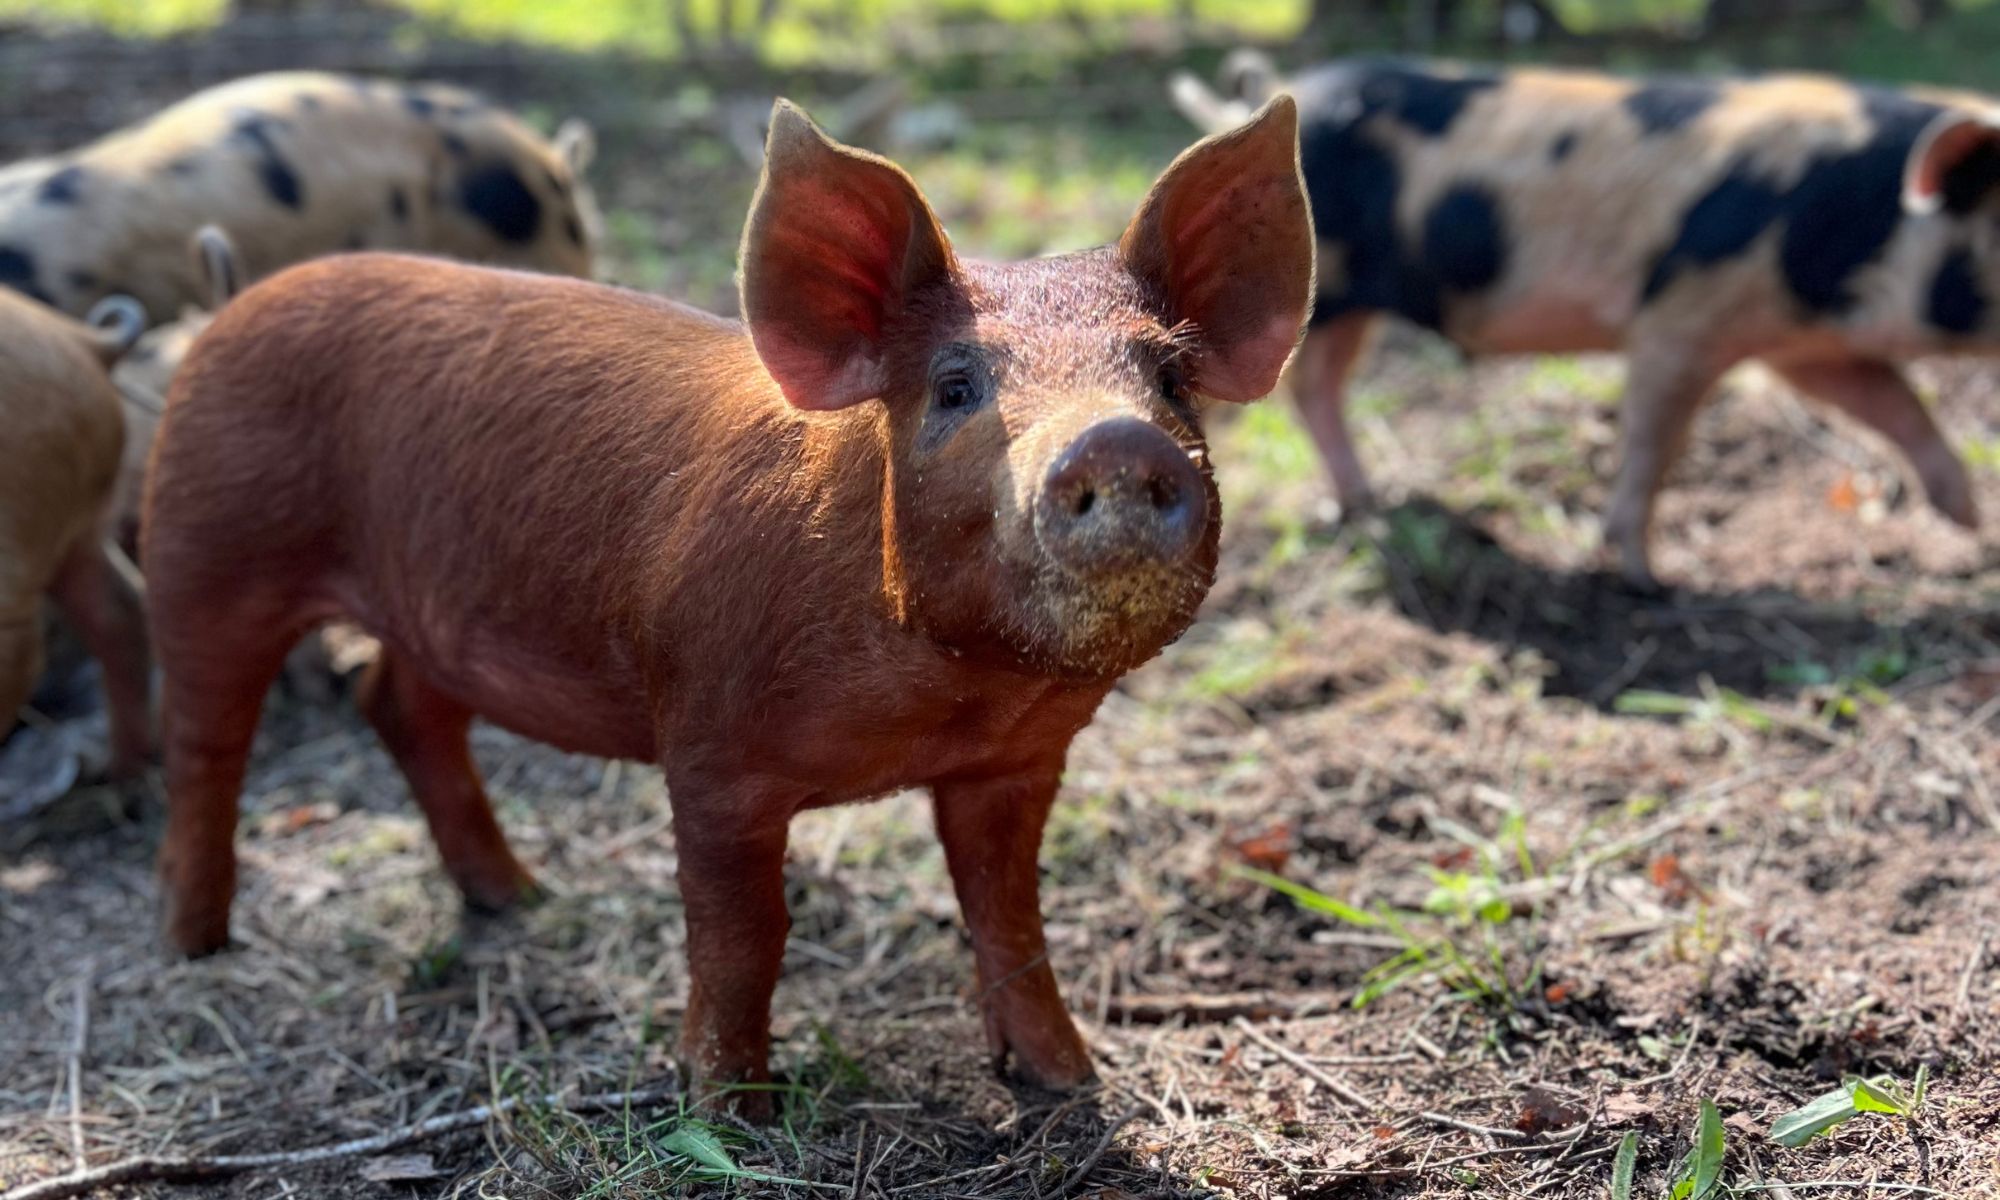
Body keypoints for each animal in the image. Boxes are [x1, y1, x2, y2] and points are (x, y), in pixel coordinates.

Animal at [142, 98, 1313, 1113]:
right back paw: (193, 944)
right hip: (203, 549)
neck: (943, 700)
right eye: (954, 386)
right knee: (206, 745)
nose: (1115, 442)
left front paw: (1069, 1085)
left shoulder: (1015, 763)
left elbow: (1009, 917)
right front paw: (732, 1109)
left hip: (426, 605)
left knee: (398, 708)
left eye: (1169, 378)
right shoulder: (710, 747)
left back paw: (517, 899)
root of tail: (229, 306)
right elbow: (744, 935)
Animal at [1174, 55, 2000, 587]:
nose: (1974, 527)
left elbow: (1896, 402)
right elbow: (1654, 442)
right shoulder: (1683, 315)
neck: (1862, 222)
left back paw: (1367, 506)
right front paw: (1647, 580)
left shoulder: (1799, 342)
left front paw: (1969, 523)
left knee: (1319, 389)